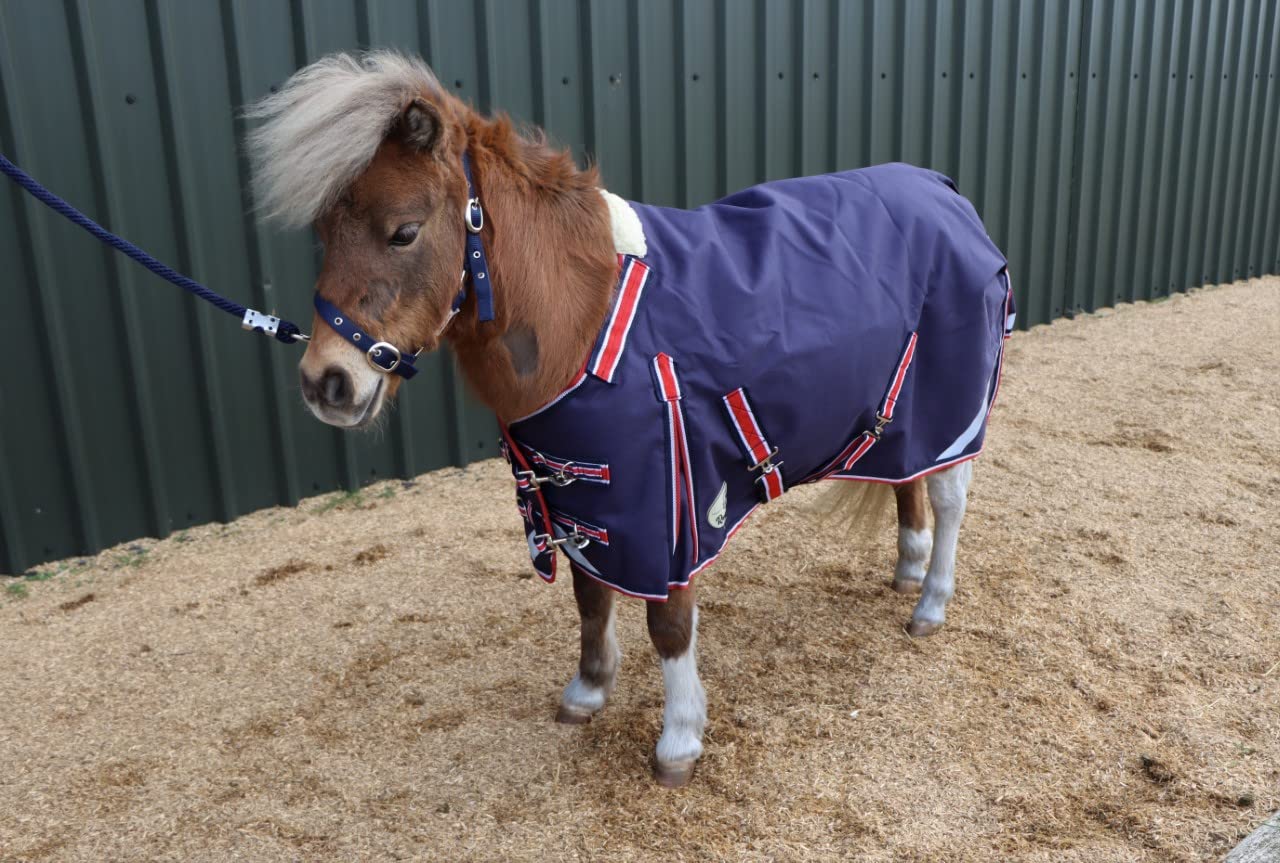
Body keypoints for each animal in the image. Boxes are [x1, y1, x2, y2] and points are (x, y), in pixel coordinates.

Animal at [247, 52, 1012, 787]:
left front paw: (679, 740)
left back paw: (930, 604)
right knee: (907, 480)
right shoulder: (579, 497)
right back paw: (907, 569)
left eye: (403, 232)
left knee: (949, 496)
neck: (583, 320)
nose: (326, 382)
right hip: (898, 415)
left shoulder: (668, 504)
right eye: (324, 233)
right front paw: (587, 691)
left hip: (952, 404)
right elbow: (589, 596)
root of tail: (944, 191)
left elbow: (668, 624)